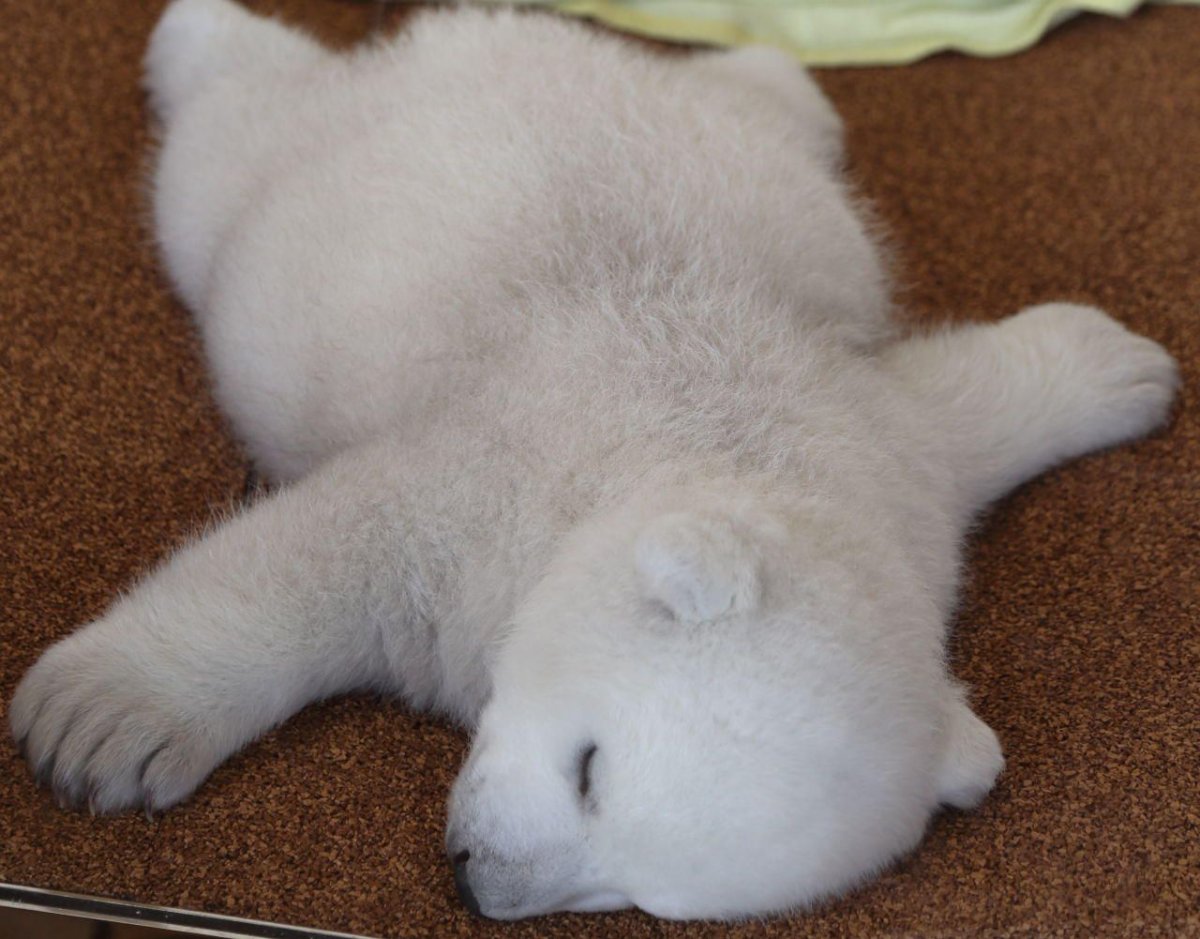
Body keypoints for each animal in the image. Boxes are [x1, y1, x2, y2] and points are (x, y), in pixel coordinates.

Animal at [9, 0, 1179, 921]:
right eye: (591, 768)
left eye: (641, 893)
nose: (481, 883)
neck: (695, 453)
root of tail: (462, 40)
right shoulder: (495, 479)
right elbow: (320, 555)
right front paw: (99, 724)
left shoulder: (884, 440)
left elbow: (963, 403)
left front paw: (1122, 367)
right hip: (285, 181)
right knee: (223, 134)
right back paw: (193, 33)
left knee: (759, 100)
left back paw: (786, 75)